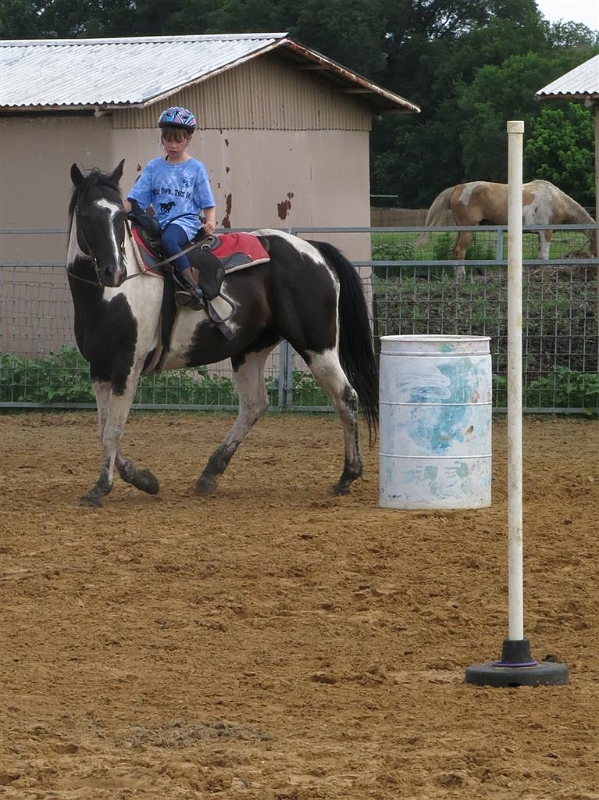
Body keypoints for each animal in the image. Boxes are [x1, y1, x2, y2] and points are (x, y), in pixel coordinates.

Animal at [67, 160, 378, 507]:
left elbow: (113, 430)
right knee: (254, 404)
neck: (110, 296)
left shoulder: (127, 365)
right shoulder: (99, 368)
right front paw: (143, 479)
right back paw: (209, 473)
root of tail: (314, 250)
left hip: (318, 345)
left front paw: (100, 489)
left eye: (120, 216)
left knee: (346, 397)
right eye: (86, 215)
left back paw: (347, 476)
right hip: (250, 349)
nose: (114, 271)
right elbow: (102, 428)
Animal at [420, 179, 597, 276]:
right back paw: (461, 276)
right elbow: (545, 256)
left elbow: (540, 255)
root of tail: (457, 188)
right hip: (468, 230)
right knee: (459, 251)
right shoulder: (546, 232)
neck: (555, 199)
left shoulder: (539, 235)